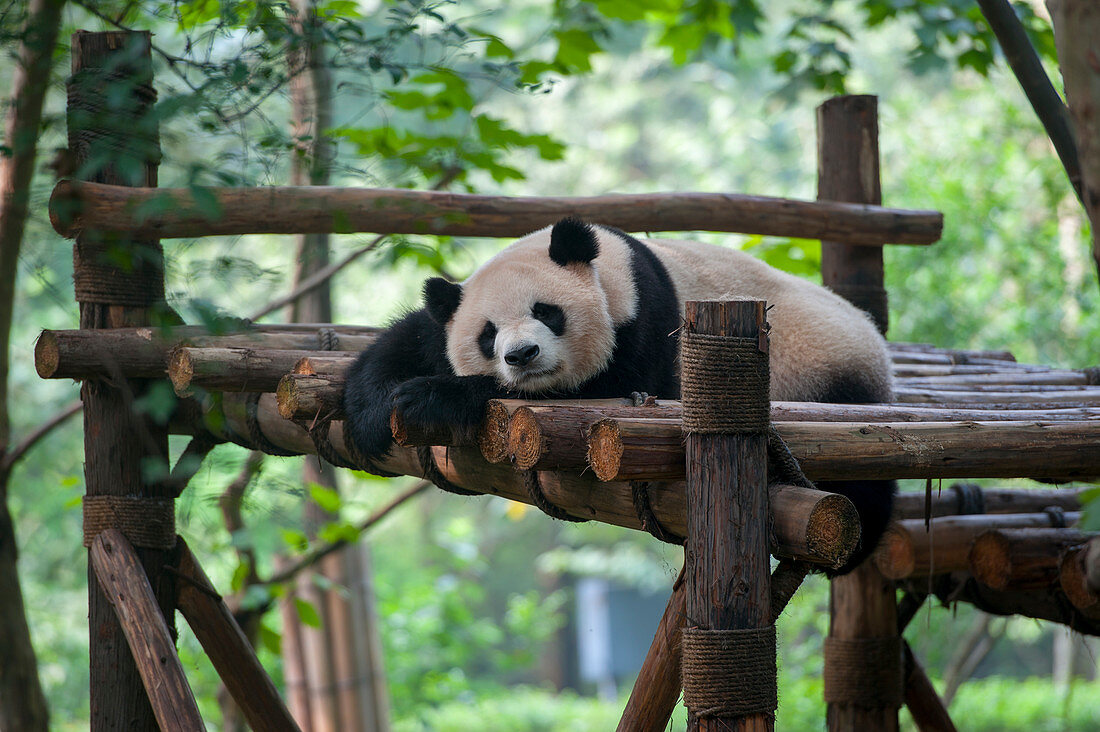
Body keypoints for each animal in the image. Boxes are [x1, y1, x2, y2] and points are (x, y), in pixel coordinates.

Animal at [347, 216, 897, 572]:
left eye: (546, 312)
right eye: (487, 334)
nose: (521, 355)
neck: (613, 267)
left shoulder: (646, 327)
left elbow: (599, 392)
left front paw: (433, 395)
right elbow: (409, 340)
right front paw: (373, 415)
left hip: (823, 368)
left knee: (859, 474)